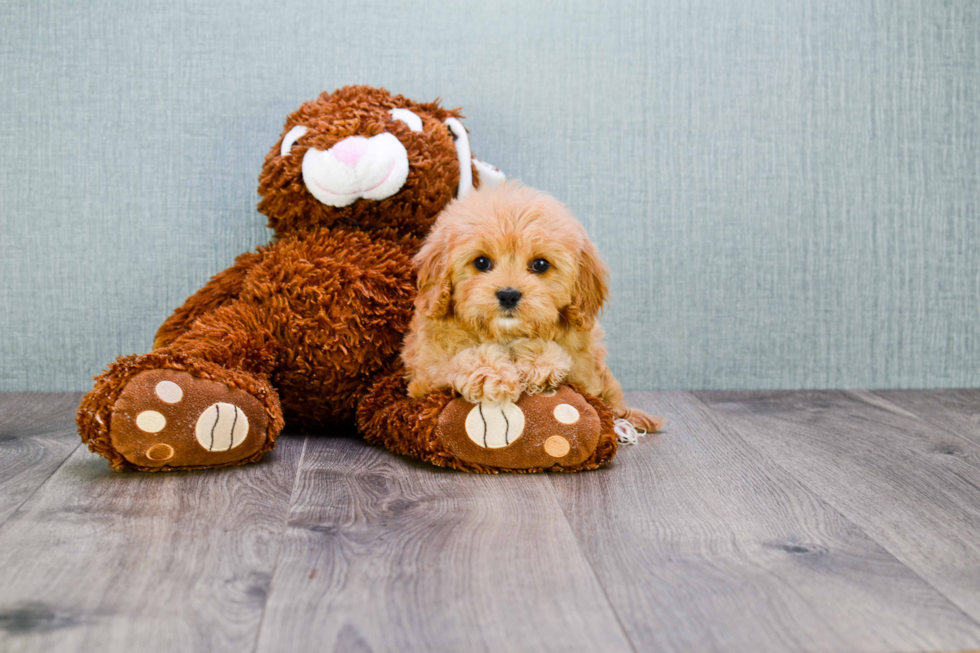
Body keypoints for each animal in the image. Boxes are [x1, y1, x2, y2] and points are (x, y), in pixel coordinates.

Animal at [402, 180, 664, 432]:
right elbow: (455, 360)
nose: (508, 295)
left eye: (540, 264)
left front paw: (538, 365)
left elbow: (561, 360)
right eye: (481, 262)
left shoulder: (585, 374)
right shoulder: (425, 374)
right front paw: (495, 375)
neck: (505, 335)